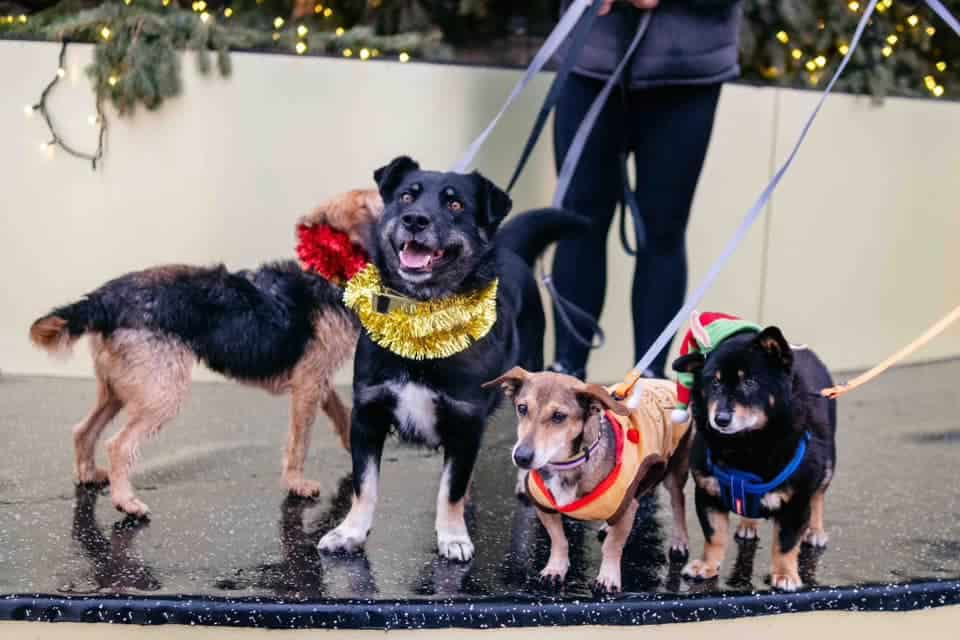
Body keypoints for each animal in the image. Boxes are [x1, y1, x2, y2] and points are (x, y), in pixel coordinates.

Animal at [28, 190, 380, 518]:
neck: (332, 265)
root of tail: (103, 299)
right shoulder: (309, 382)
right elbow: (300, 439)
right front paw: (296, 483)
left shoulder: (317, 379)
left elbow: (339, 409)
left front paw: (351, 443)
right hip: (162, 394)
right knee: (118, 445)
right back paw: (126, 502)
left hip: (117, 389)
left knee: (83, 430)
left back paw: (88, 474)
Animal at [316, 156, 587, 563]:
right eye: (406, 196)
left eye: (455, 204)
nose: (415, 219)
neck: (422, 317)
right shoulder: (367, 415)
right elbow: (365, 485)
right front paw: (350, 532)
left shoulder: (465, 421)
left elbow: (450, 489)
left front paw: (453, 536)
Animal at [484, 368, 692, 592]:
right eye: (522, 408)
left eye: (559, 416)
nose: (521, 457)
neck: (565, 465)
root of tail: (662, 381)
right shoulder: (544, 507)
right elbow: (559, 540)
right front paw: (555, 568)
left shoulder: (627, 504)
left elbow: (612, 546)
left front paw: (608, 577)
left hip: (674, 468)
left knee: (678, 501)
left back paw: (680, 541)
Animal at [672, 322, 836, 591]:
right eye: (714, 383)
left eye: (749, 382)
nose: (721, 419)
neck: (744, 447)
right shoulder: (707, 494)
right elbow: (714, 536)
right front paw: (707, 565)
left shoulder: (796, 502)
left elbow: (785, 543)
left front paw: (785, 574)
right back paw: (748, 524)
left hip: (828, 464)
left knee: (819, 497)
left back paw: (815, 531)